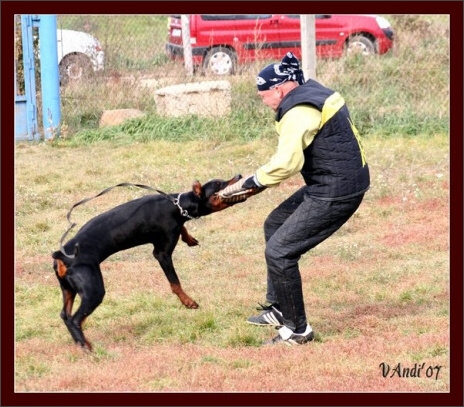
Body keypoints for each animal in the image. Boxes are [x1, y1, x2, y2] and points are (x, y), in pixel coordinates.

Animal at [52, 175, 245, 350]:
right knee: (75, 319)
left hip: (68, 288)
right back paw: (86, 346)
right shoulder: (162, 254)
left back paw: (80, 342)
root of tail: (62, 256)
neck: (177, 205)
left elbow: (183, 228)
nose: (239, 175)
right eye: (219, 184)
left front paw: (189, 239)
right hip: (93, 290)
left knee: (65, 315)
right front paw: (188, 302)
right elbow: (175, 282)